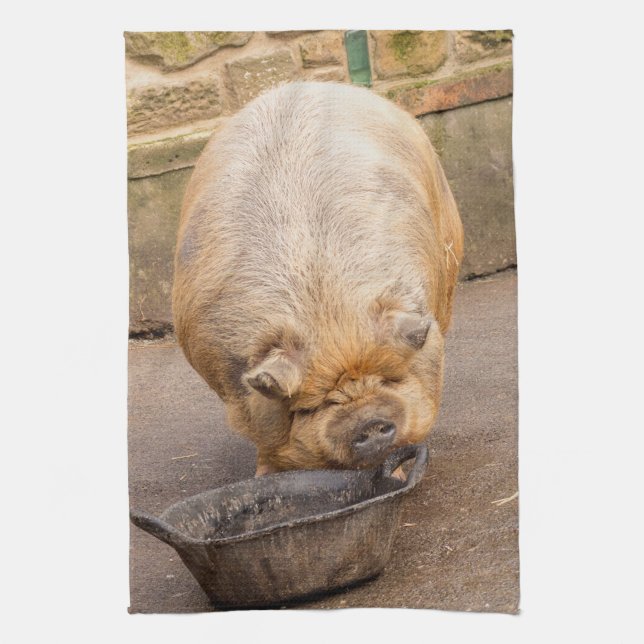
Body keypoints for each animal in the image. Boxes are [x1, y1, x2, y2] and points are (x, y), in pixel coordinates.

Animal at [172, 81, 463, 475]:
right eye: (313, 405)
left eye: (391, 378)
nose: (370, 422)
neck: (327, 312)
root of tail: (304, 83)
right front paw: (264, 476)